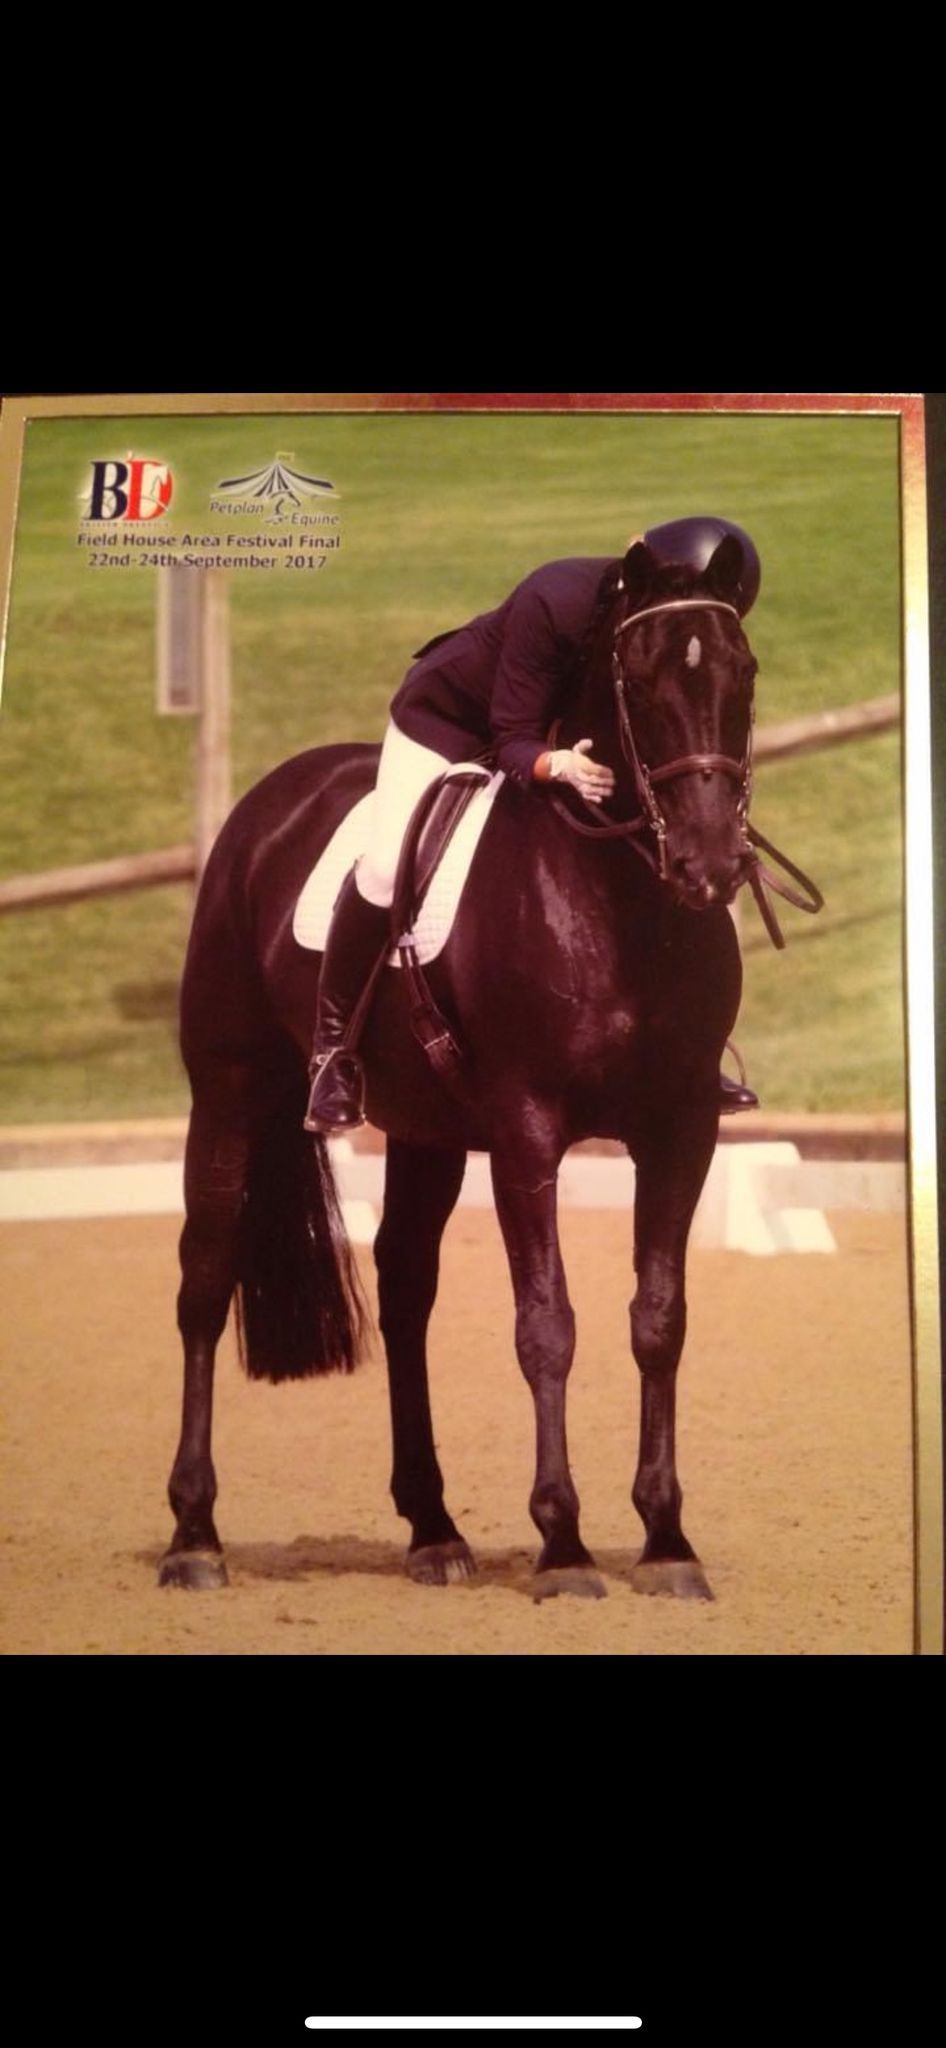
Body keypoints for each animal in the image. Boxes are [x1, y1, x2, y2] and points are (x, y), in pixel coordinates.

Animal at [162, 536, 790, 1589]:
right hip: (230, 1091)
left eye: (743, 674)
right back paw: (194, 1536)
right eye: (640, 679)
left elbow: (658, 1319)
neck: (619, 900)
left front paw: (666, 1540)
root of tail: (266, 806)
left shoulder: (681, 1130)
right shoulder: (528, 1133)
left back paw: (433, 1528)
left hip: (426, 1131)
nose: (708, 865)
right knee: (205, 1282)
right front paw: (564, 1545)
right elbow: (548, 1326)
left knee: (405, 1289)